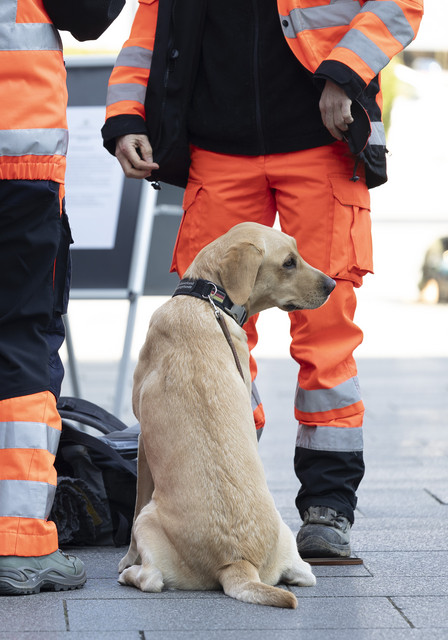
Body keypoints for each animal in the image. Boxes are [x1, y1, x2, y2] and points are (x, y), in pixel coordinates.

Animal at [119, 222, 336, 608]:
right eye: (289, 262)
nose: (333, 285)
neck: (205, 302)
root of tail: (237, 562)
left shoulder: (143, 441)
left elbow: (134, 508)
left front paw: (126, 559)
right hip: (286, 535)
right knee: (305, 574)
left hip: (148, 521)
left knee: (151, 579)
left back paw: (130, 574)